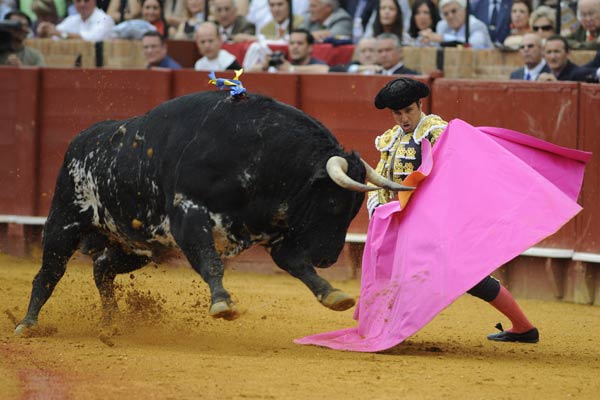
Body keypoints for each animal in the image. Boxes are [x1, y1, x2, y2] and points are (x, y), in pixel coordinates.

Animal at [15, 91, 408, 334]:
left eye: (354, 209)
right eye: (333, 203)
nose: (328, 258)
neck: (261, 156)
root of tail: (80, 140)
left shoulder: (276, 234)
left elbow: (298, 265)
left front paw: (334, 296)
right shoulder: (189, 215)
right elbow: (210, 262)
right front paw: (222, 304)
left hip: (141, 246)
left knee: (102, 268)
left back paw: (111, 324)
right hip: (65, 222)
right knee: (48, 274)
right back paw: (28, 325)